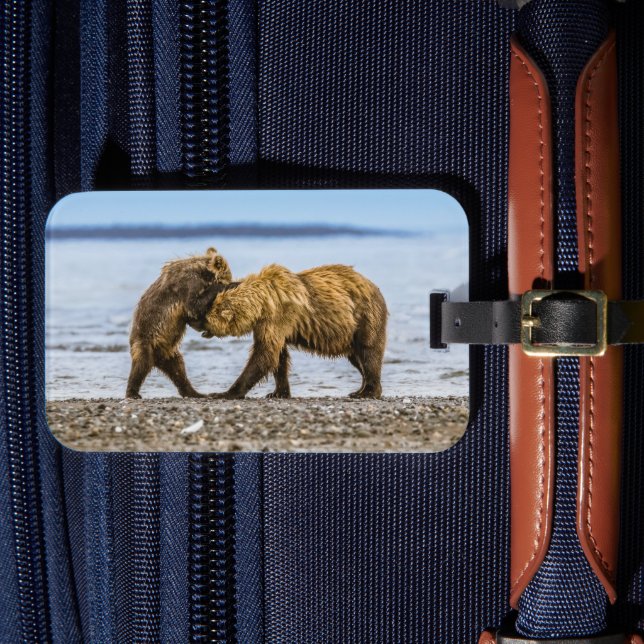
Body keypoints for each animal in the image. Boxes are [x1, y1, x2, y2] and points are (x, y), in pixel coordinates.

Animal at [125, 247, 236, 399]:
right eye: (230, 276)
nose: (232, 279)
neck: (204, 273)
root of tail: (157, 359)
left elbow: (193, 315)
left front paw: (207, 330)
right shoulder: (189, 284)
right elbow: (193, 306)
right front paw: (226, 285)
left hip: (168, 351)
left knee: (178, 370)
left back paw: (195, 393)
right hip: (145, 340)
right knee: (141, 364)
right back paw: (133, 393)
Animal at [194, 263, 388, 399]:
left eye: (204, 315)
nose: (196, 324)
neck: (262, 303)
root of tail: (374, 286)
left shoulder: (279, 316)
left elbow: (264, 355)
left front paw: (224, 392)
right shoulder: (267, 324)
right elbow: (278, 356)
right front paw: (278, 392)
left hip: (364, 317)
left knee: (368, 353)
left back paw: (369, 391)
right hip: (350, 333)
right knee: (356, 357)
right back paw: (360, 390)